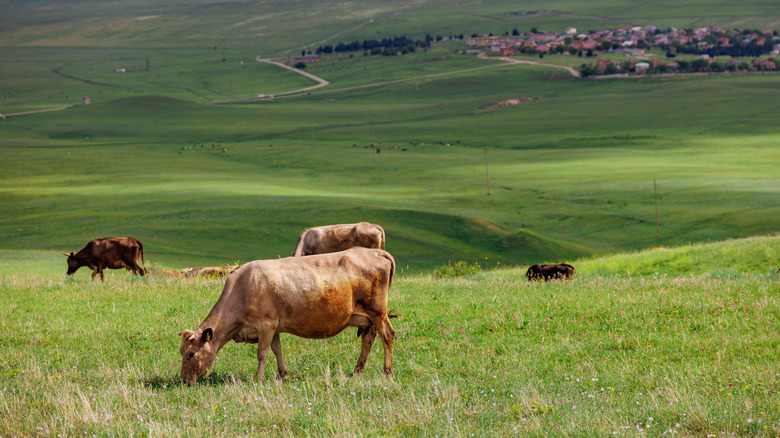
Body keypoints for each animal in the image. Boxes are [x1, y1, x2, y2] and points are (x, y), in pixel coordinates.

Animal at [178, 247, 397, 386]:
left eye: (191, 354)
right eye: (181, 352)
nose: (183, 381)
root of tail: (375, 251)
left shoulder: (265, 324)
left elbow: (262, 353)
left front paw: (258, 378)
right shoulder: (274, 325)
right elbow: (277, 350)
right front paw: (282, 374)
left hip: (377, 311)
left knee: (387, 335)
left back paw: (387, 371)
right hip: (367, 318)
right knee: (368, 339)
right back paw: (357, 370)